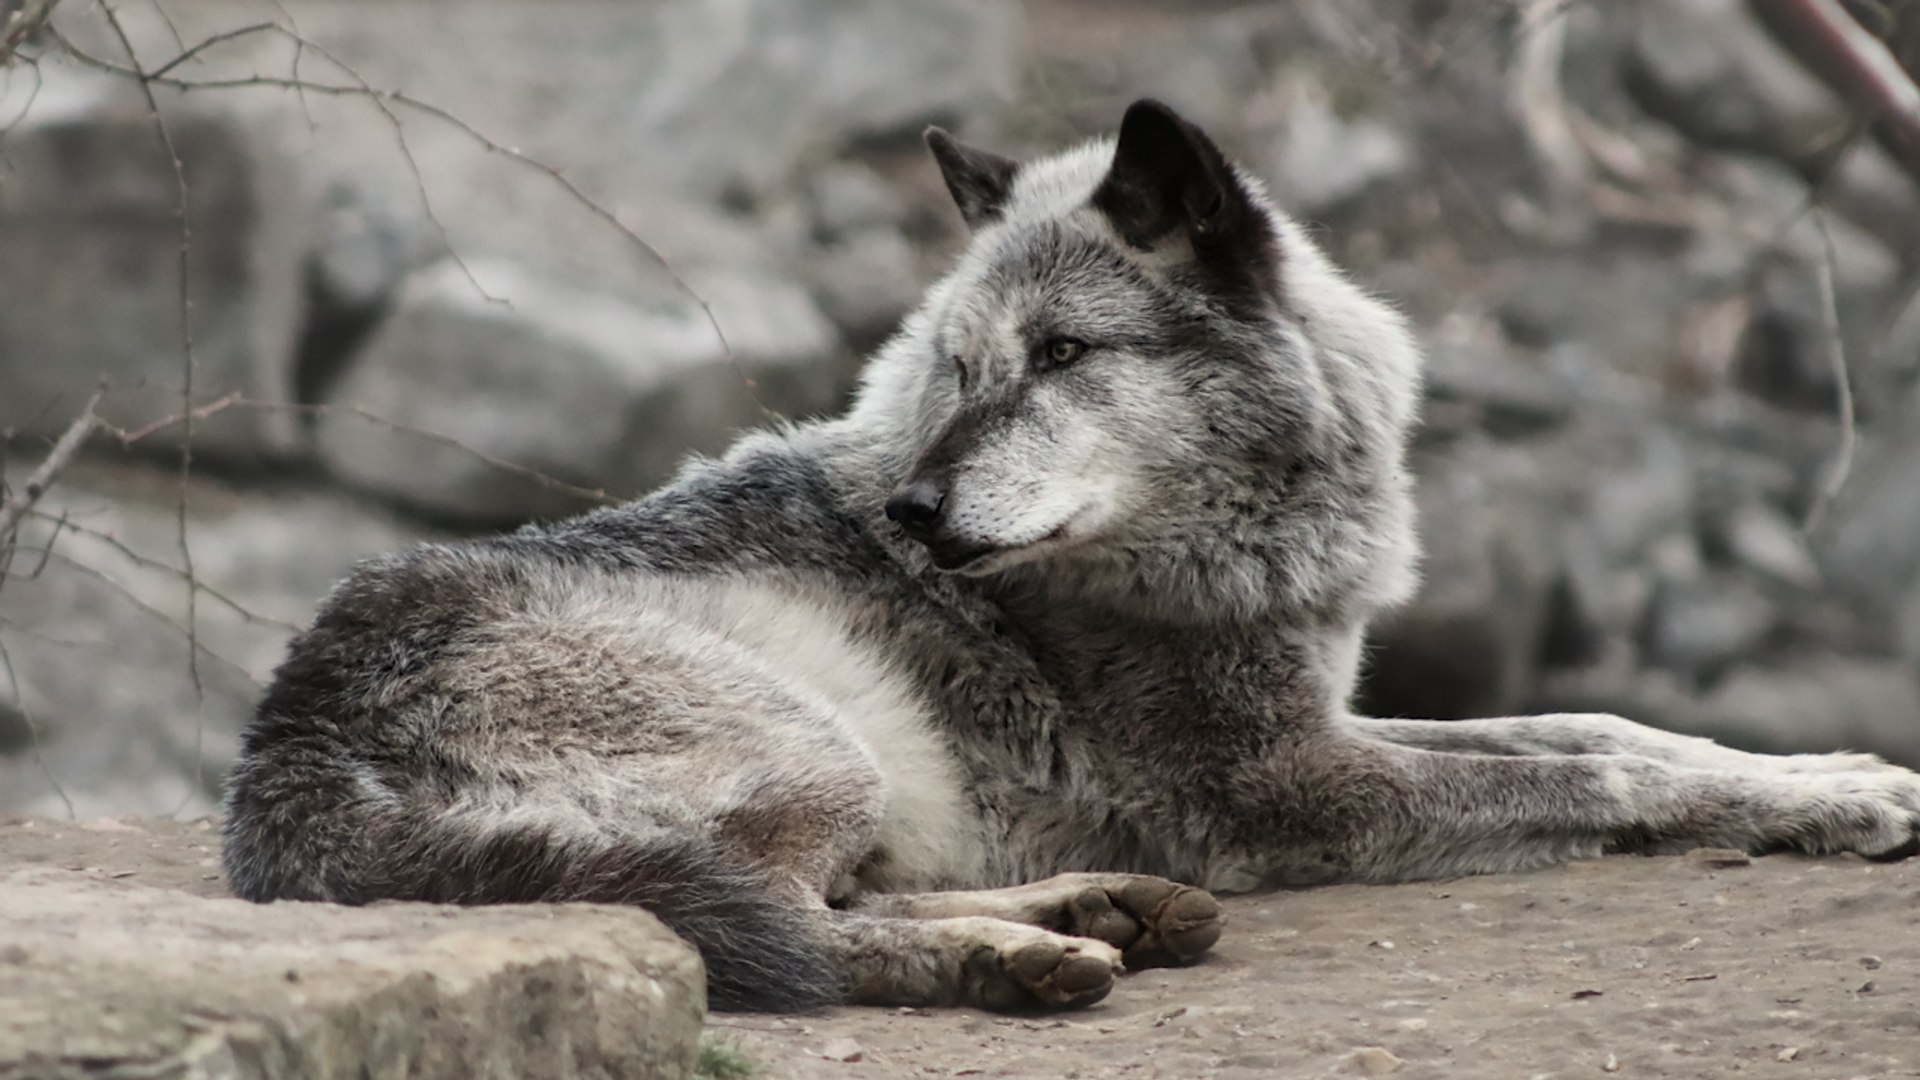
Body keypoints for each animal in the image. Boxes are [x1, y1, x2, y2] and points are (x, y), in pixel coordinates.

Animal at [223, 99, 1920, 1013]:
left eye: (1060, 355)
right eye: (962, 368)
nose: (913, 516)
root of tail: (282, 751)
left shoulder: (1315, 719)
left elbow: (1600, 719)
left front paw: (1835, 777)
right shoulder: (1275, 788)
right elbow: (1600, 766)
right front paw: (1838, 802)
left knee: (808, 904)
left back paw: (1098, 915)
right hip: (814, 742)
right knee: (758, 928)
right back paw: (1023, 964)